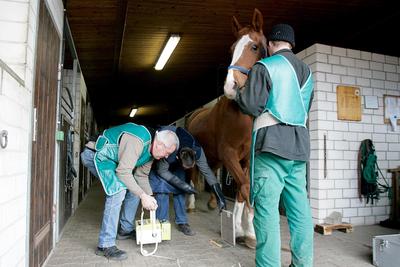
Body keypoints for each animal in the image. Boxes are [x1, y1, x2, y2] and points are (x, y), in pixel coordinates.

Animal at [187, 8, 268, 251]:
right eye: (232, 49)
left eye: (254, 46)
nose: (231, 87)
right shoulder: (229, 154)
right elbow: (244, 187)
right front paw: (245, 231)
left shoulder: (246, 159)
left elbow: (243, 189)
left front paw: (246, 231)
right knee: (190, 176)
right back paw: (191, 204)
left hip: (212, 157)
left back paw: (214, 203)